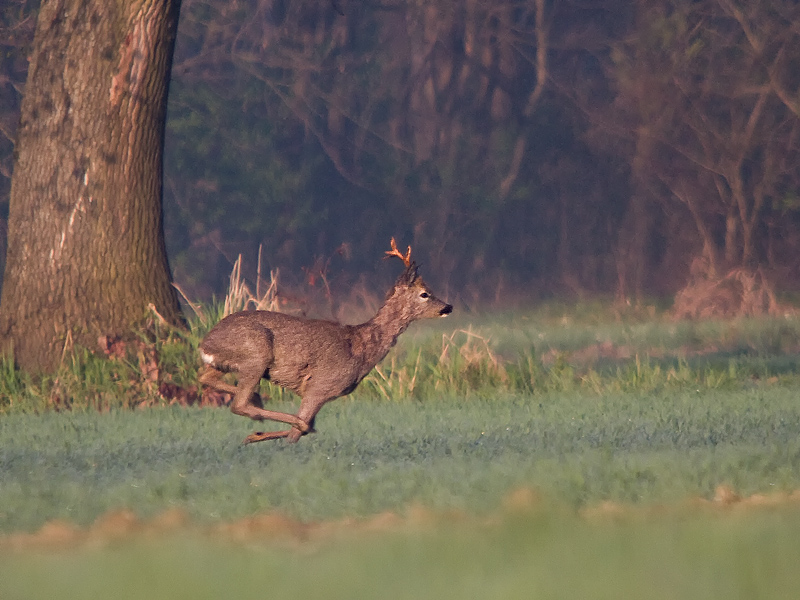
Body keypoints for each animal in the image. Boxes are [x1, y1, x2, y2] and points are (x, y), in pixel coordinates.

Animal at [198, 240, 454, 446]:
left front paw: (258, 435)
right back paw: (268, 418)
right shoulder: (320, 386)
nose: (448, 307)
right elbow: (296, 434)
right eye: (424, 293)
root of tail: (205, 344)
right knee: (239, 404)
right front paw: (272, 435)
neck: (361, 347)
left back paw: (258, 406)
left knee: (205, 379)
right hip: (257, 353)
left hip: (227, 363)